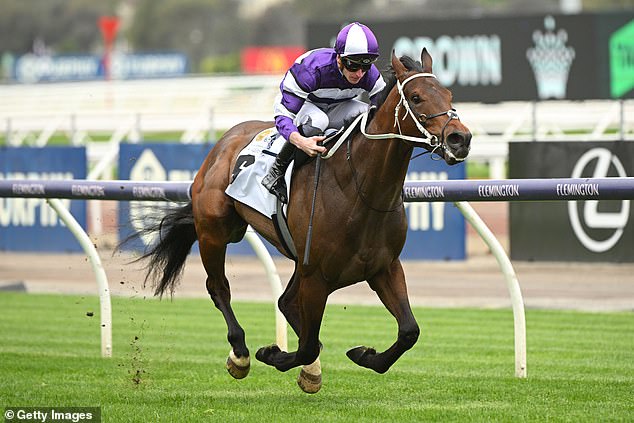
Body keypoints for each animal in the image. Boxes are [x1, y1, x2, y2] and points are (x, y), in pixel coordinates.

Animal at [137, 49, 470, 394]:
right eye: (416, 98)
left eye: (449, 94)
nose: (460, 138)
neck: (359, 189)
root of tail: (224, 141)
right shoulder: (316, 275)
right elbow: (308, 344)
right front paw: (273, 354)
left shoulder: (383, 267)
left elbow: (408, 331)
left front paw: (363, 355)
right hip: (215, 231)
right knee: (220, 288)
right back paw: (240, 353)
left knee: (286, 304)